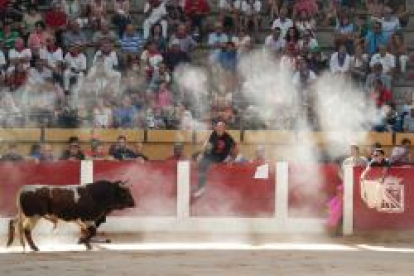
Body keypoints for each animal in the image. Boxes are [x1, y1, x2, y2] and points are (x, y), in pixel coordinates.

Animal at [6, 180, 136, 251]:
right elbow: (92, 232)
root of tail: (24, 188)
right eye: (125, 193)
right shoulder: (87, 219)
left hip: (25, 214)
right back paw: (34, 247)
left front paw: (87, 245)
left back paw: (9, 243)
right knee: (26, 230)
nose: (134, 203)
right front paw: (82, 242)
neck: (95, 195)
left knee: (13, 222)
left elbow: (87, 232)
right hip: (34, 215)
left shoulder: (83, 221)